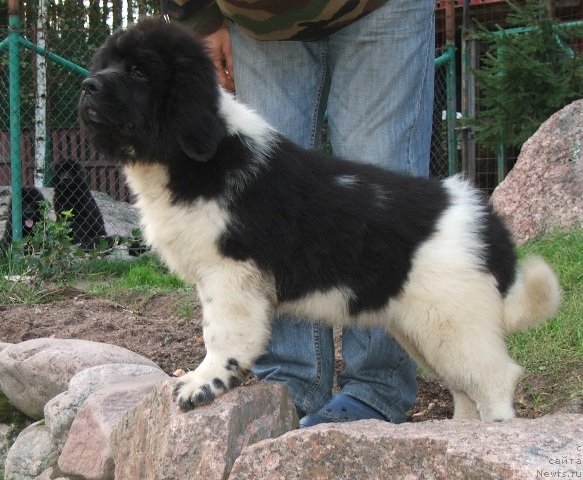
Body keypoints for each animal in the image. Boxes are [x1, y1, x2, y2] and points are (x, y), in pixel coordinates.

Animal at [80, 20, 564, 422]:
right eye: (105, 66)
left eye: (138, 72)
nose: (87, 85)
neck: (199, 154)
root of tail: (488, 224)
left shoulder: (230, 273)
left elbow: (221, 334)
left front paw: (205, 383)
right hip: (425, 328)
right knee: (465, 388)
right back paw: (461, 433)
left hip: (455, 322)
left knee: (495, 379)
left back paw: (492, 432)